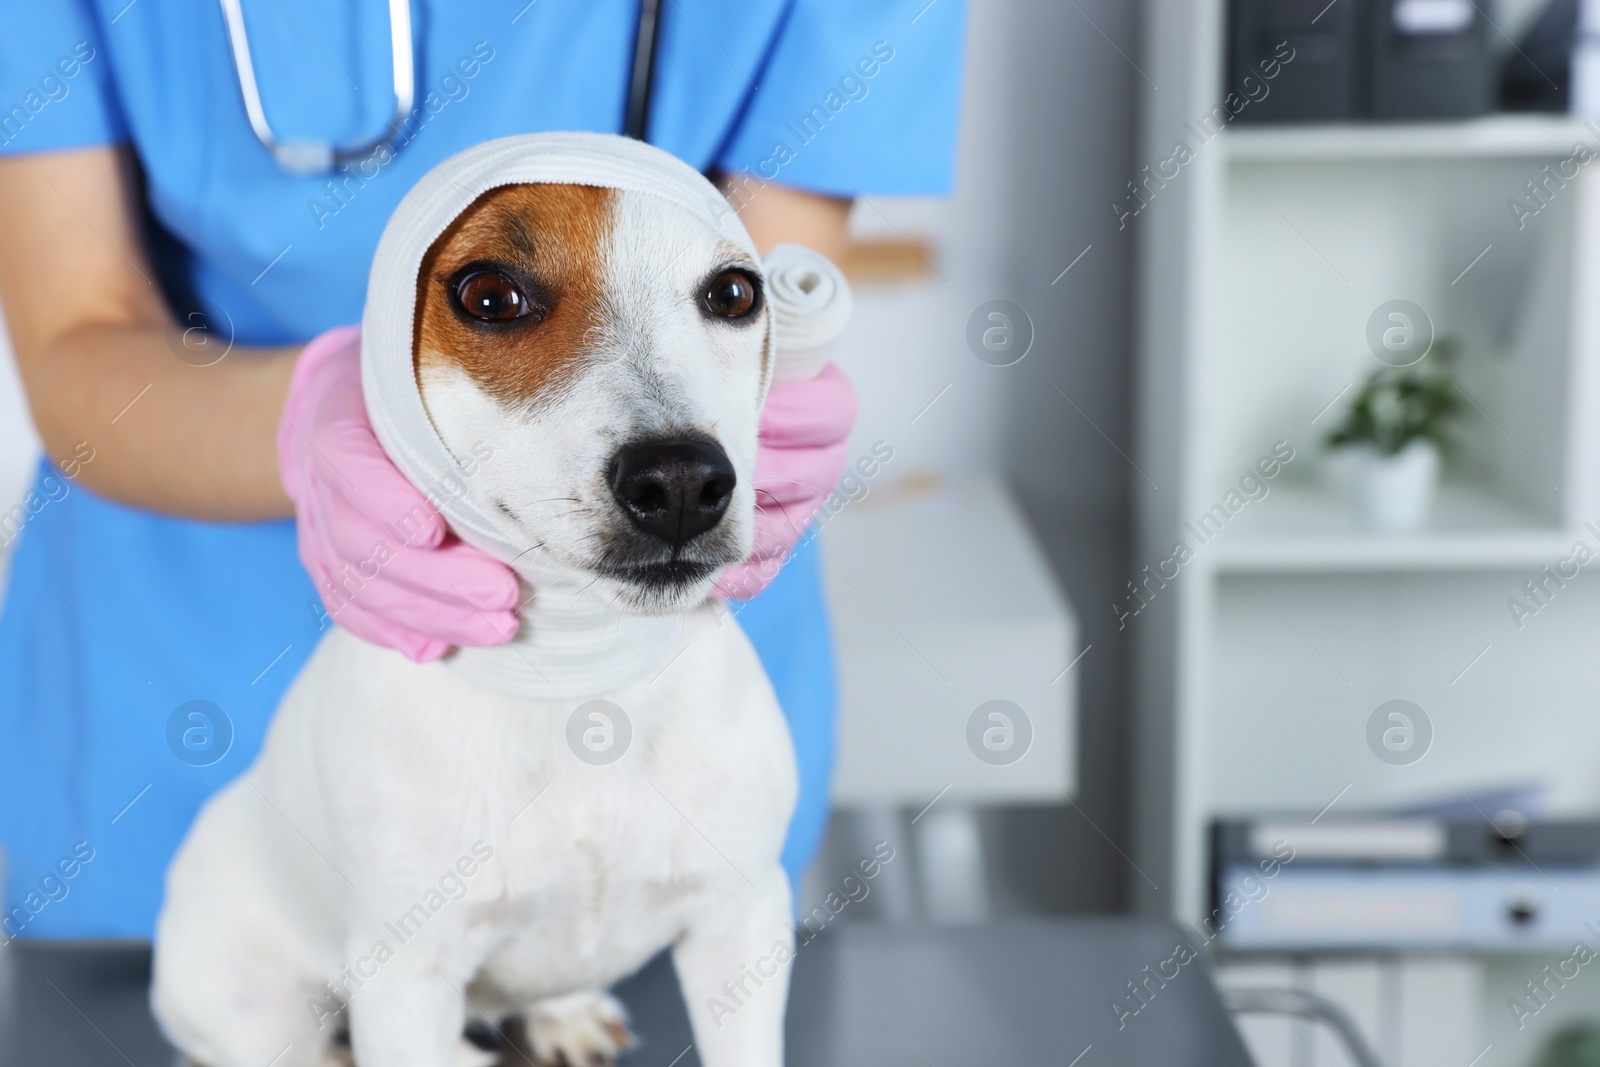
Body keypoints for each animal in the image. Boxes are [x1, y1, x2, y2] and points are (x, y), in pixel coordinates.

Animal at [151, 141, 800, 1067]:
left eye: (736, 293)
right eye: (490, 296)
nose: (681, 481)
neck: (570, 679)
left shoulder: (741, 923)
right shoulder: (405, 977)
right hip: (254, 1007)